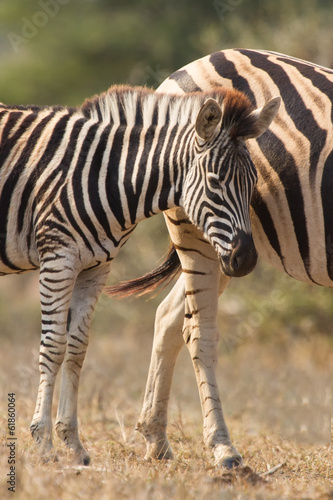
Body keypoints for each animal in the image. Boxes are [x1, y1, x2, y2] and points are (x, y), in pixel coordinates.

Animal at [0, 84, 278, 462]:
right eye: (214, 182)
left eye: (253, 181)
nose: (246, 260)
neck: (106, 175)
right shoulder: (58, 257)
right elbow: (54, 345)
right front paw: (43, 444)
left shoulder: (95, 267)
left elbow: (77, 347)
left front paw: (72, 443)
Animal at [107, 49, 332, 468]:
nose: (248, 260)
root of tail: (192, 63)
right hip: (197, 235)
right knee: (199, 332)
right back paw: (222, 447)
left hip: (225, 249)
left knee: (168, 316)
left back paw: (156, 437)